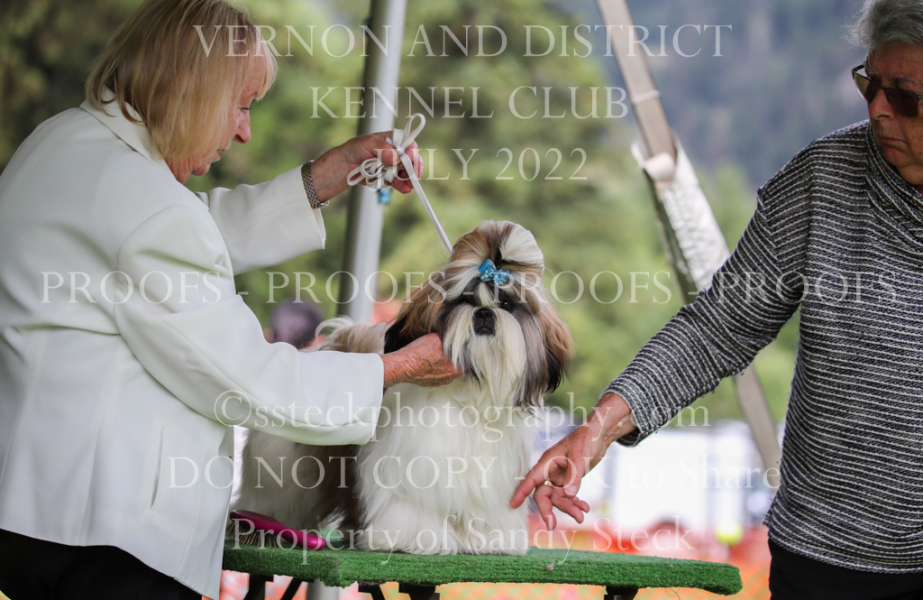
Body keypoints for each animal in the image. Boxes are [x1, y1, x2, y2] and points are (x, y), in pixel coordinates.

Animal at [234, 221, 574, 555]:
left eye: (506, 304)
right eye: (464, 300)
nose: (484, 313)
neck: (469, 392)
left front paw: (491, 540)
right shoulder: (411, 469)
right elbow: (411, 505)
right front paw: (416, 538)